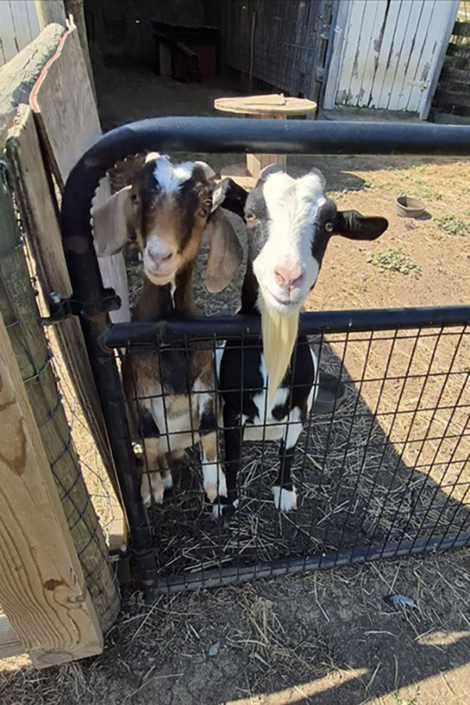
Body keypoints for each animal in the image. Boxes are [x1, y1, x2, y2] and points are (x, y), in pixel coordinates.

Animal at [92, 153, 242, 509]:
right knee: (157, 451)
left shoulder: (205, 381)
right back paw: (162, 477)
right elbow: (148, 437)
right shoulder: (140, 391)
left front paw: (217, 484)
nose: (159, 256)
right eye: (136, 197)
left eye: (204, 206)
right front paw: (151, 489)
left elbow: (208, 429)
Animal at [214, 165, 388, 523]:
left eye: (328, 225)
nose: (288, 277)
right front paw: (227, 501)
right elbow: (232, 457)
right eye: (250, 214)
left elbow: (289, 451)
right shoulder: (233, 410)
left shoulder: (299, 408)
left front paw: (284, 493)